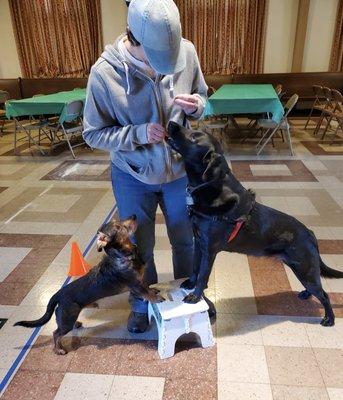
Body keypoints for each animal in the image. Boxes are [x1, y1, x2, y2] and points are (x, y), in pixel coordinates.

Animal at [13, 216, 164, 354]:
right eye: (118, 227)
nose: (134, 216)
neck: (122, 256)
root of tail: (57, 295)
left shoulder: (141, 281)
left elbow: (148, 288)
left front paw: (154, 290)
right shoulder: (136, 285)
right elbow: (146, 293)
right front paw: (157, 298)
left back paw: (77, 324)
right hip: (66, 319)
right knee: (56, 333)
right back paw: (59, 350)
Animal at [167, 121, 343, 324]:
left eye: (194, 137)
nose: (171, 123)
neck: (210, 186)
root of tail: (311, 234)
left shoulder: (210, 250)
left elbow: (203, 275)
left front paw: (195, 297)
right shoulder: (199, 243)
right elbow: (195, 268)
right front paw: (190, 284)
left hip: (305, 268)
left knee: (324, 294)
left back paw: (329, 319)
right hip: (299, 268)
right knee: (316, 289)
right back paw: (306, 294)